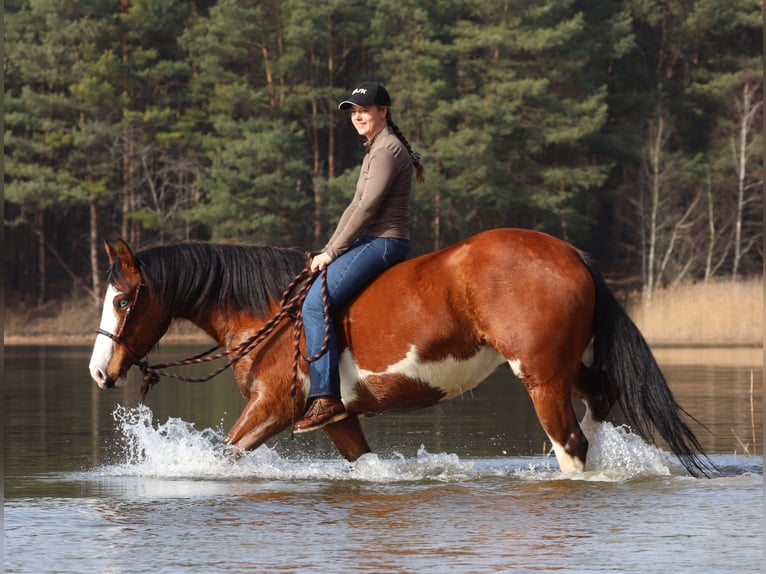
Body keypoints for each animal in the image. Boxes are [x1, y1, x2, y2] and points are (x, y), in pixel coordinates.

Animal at [88, 228, 713, 476]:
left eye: (121, 300)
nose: (100, 372)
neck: (268, 313)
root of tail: (570, 253)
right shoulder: (337, 417)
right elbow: (364, 461)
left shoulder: (271, 408)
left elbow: (223, 455)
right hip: (570, 369)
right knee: (602, 403)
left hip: (540, 378)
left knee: (571, 445)